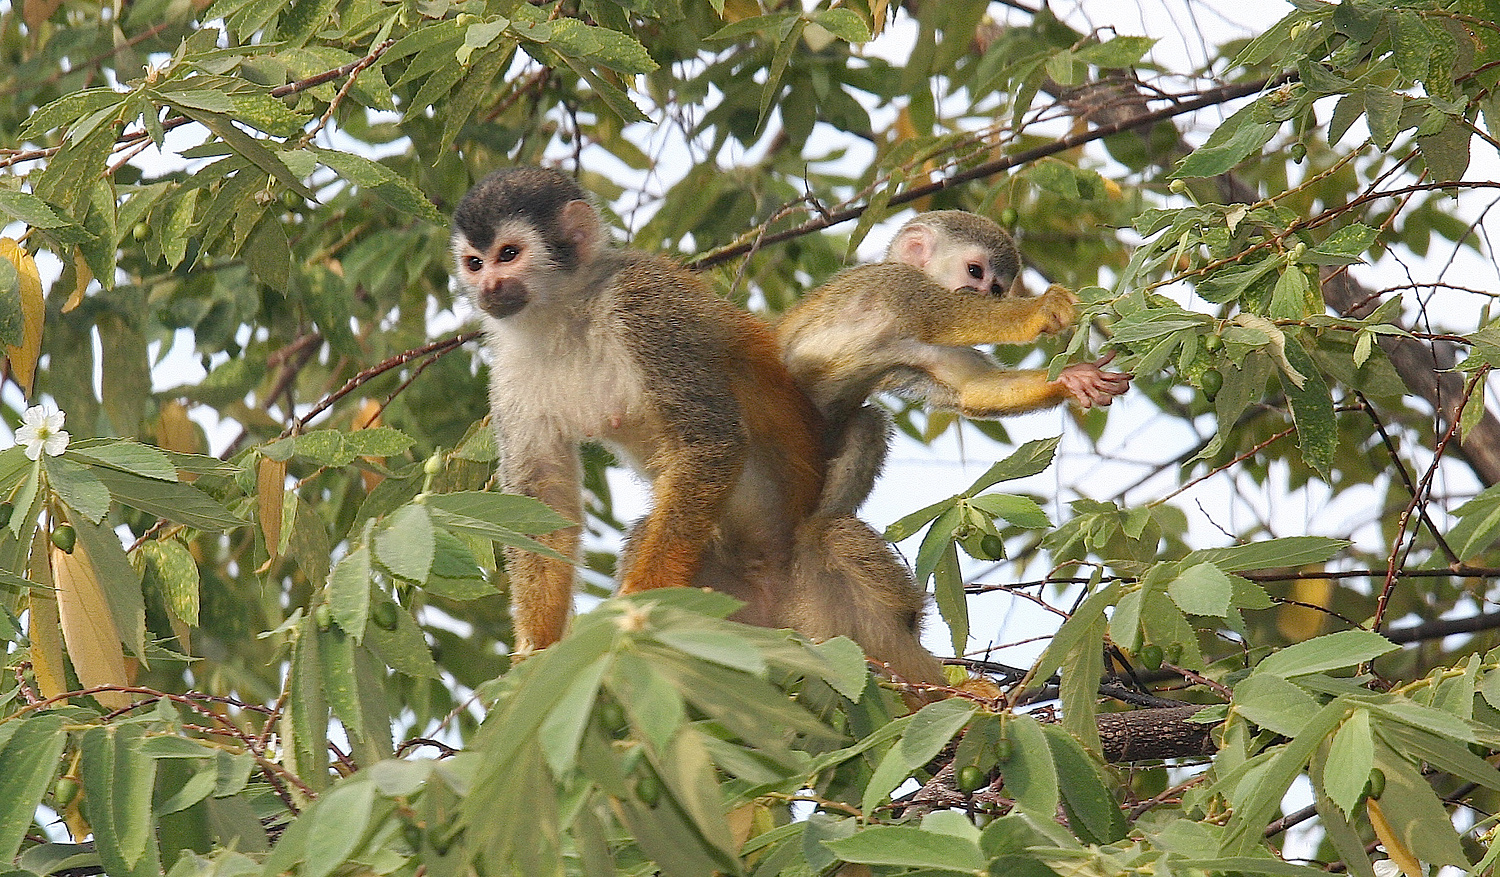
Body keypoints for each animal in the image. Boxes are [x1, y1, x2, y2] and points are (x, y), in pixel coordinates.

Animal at [453, 167, 948, 695]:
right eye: (474, 263)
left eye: (509, 254)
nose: (489, 287)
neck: (565, 314)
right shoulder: (509, 366)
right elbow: (545, 501)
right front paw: (536, 657)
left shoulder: (644, 307)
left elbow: (710, 440)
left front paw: (636, 603)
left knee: (833, 538)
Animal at [780, 208, 1128, 515]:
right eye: (975, 271)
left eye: (996, 289)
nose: (984, 294)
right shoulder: (902, 285)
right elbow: (949, 317)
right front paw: (1044, 308)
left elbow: (972, 388)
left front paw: (1075, 378)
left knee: (869, 424)